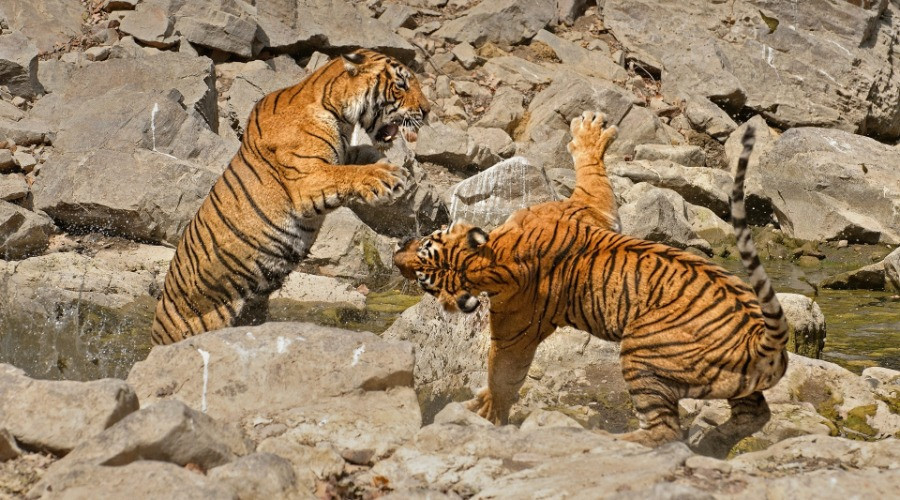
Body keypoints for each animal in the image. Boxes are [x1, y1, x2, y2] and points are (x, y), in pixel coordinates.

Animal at [152, 49, 430, 345]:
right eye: (401, 85)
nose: (427, 110)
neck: (338, 112)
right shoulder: (307, 179)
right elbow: (345, 174)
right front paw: (384, 178)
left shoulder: (340, 154)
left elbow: (359, 154)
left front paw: (392, 167)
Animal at [393, 111, 788, 447]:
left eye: (423, 270)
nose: (397, 256)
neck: (492, 257)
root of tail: (760, 338)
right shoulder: (594, 212)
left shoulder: (515, 332)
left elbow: (503, 373)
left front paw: (489, 409)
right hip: (735, 383)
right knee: (755, 415)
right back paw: (713, 439)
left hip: (642, 355)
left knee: (664, 432)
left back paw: (616, 440)